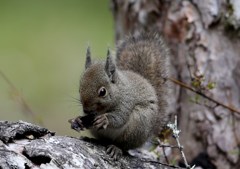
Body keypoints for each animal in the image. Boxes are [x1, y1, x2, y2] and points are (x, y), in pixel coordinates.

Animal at [69, 32, 171, 160]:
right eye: (79, 89)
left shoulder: (126, 102)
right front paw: (78, 120)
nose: (86, 110)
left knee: (124, 146)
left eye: (102, 92)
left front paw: (104, 119)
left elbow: (120, 117)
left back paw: (116, 148)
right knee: (104, 140)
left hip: (138, 125)